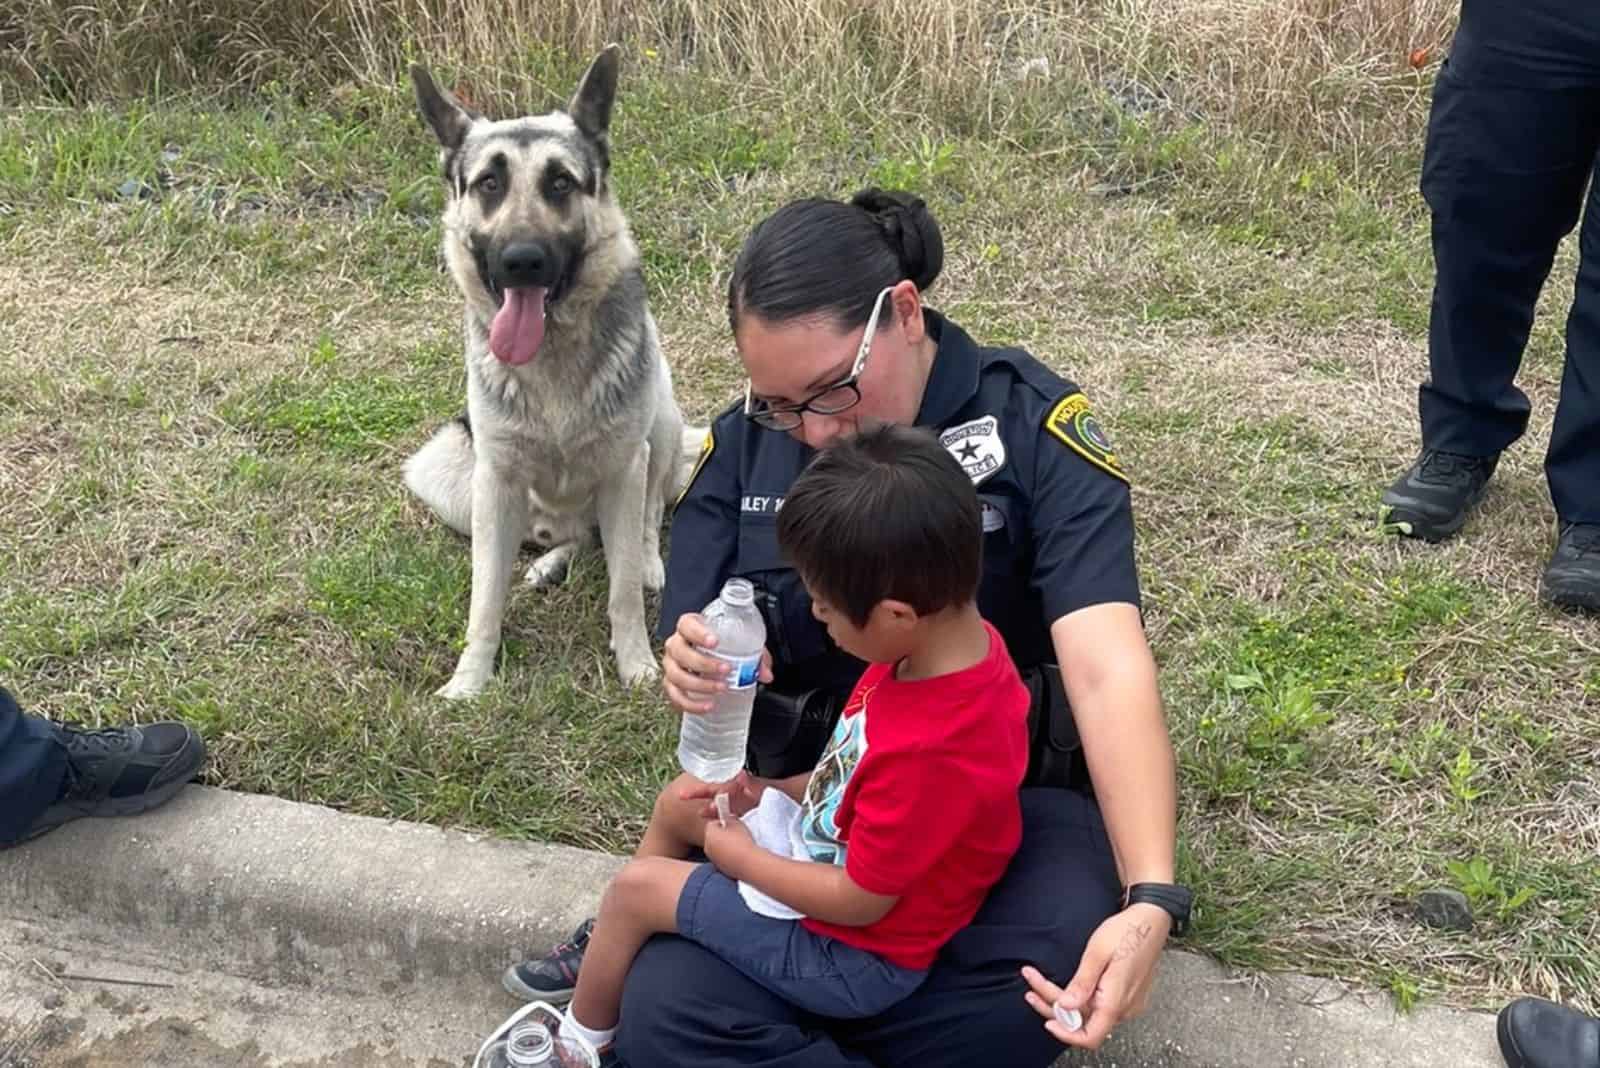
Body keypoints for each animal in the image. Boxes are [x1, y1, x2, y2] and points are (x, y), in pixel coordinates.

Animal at [403, 49, 697, 697]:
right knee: (570, 538)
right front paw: (470, 679)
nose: (522, 262)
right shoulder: (495, 483)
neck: (553, 356)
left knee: (641, 523)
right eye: (489, 183)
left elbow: (621, 590)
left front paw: (636, 666)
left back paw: (645, 563)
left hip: (661, 423)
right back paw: (547, 560)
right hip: (443, 474)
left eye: (560, 182)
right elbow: (484, 600)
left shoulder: (624, 470)